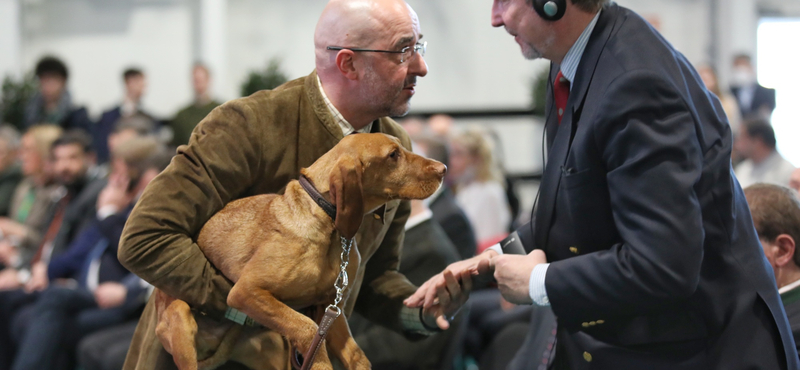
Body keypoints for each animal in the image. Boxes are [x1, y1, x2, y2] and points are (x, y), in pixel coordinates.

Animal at [153, 133, 446, 370]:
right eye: (393, 155)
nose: (443, 169)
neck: (329, 226)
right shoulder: (246, 292)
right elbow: (307, 330)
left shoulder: (330, 308)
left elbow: (356, 356)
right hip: (181, 320)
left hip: (272, 349)